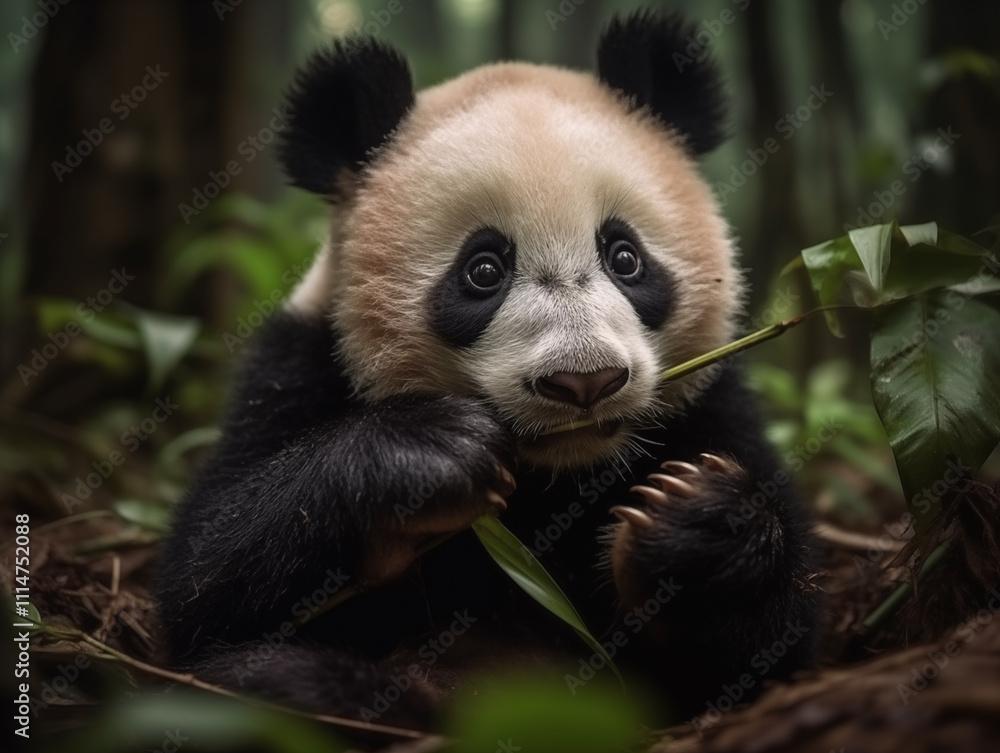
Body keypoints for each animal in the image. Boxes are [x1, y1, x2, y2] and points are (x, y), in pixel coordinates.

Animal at [157, 10, 819, 730]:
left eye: (625, 257)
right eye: (483, 270)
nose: (584, 381)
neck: (556, 475)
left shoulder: (710, 400)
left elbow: (770, 655)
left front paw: (700, 524)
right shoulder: (299, 365)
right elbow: (204, 580)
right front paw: (428, 453)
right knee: (267, 682)